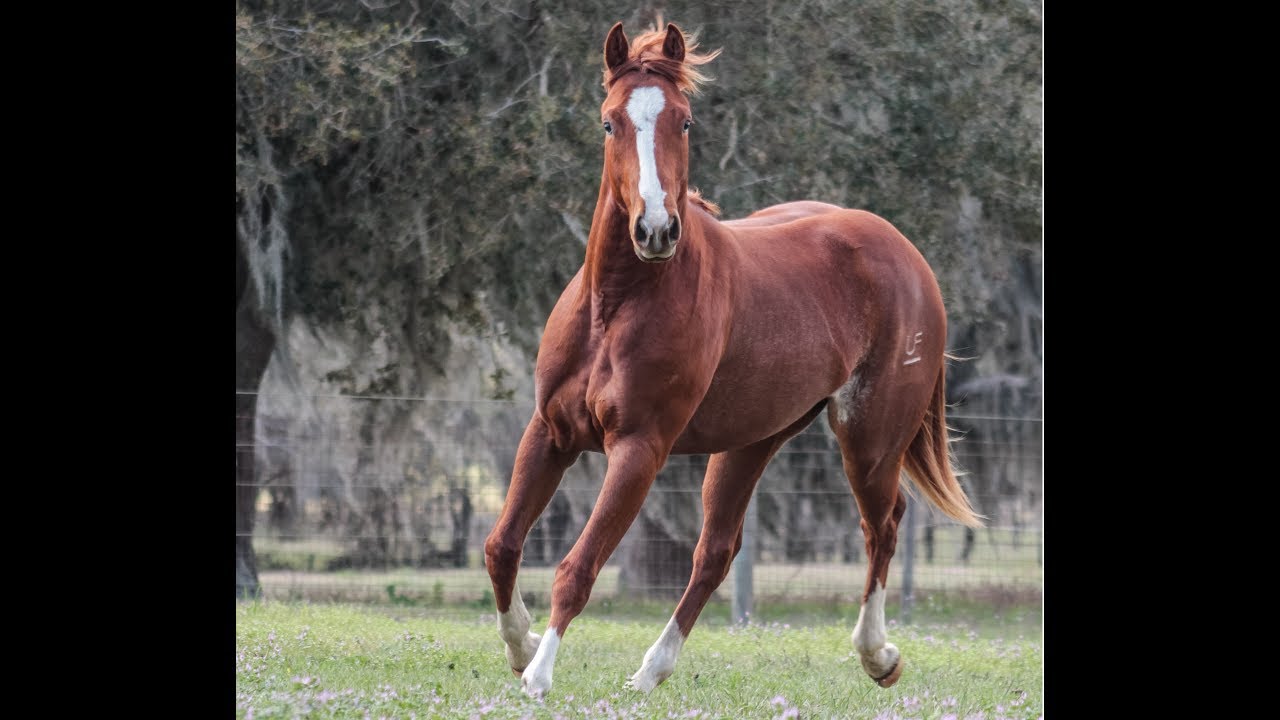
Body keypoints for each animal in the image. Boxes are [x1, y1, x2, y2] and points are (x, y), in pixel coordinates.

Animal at [484, 21, 982, 698]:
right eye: (610, 122)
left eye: (685, 121)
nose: (656, 230)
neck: (615, 306)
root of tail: (905, 253)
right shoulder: (550, 433)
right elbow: (503, 545)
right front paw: (522, 647)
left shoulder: (638, 450)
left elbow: (577, 569)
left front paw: (537, 677)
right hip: (752, 441)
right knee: (717, 552)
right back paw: (650, 672)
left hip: (869, 439)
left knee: (881, 526)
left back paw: (877, 655)